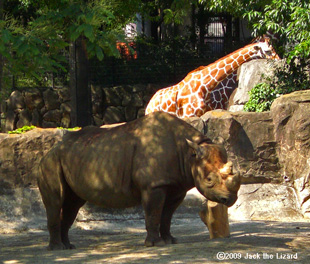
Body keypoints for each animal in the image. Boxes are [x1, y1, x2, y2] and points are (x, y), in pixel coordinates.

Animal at [146, 35, 280, 118]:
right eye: (268, 51)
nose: (279, 59)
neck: (205, 85)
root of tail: (150, 102)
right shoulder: (188, 115)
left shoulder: (204, 112)